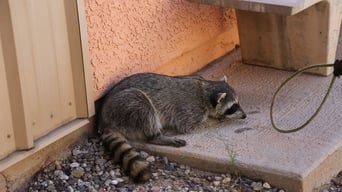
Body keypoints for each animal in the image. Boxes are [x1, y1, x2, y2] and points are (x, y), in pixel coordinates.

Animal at [97, 72, 246, 182]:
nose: (244, 116)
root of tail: (104, 118)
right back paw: (157, 137)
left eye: (238, 102)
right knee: (142, 104)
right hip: (125, 106)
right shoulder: (191, 108)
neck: (205, 88)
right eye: (233, 107)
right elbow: (188, 126)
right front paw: (214, 120)